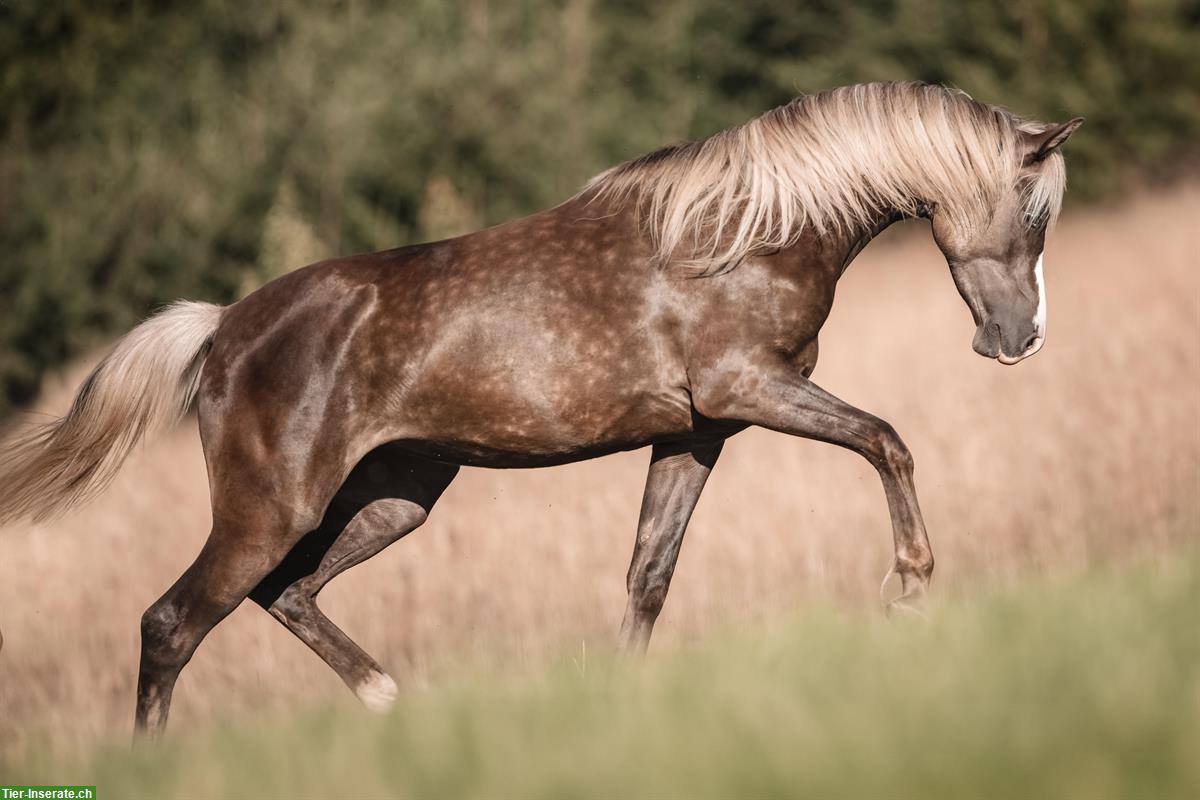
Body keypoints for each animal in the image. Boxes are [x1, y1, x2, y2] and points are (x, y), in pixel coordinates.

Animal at [0, 82, 1084, 738]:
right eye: (1033, 212)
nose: (1020, 339)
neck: (750, 232)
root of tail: (223, 328)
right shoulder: (750, 388)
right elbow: (887, 439)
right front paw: (910, 588)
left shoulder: (697, 431)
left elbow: (649, 575)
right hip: (270, 507)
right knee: (172, 622)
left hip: (393, 496)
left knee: (287, 594)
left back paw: (393, 701)